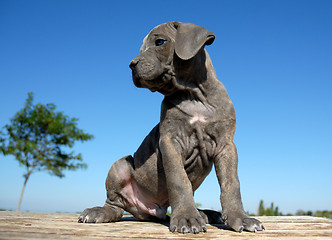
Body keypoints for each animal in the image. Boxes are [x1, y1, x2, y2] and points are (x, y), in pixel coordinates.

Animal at [78, 21, 264, 233]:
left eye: (160, 42)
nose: (131, 64)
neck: (193, 95)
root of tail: (149, 210)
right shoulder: (170, 142)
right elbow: (179, 181)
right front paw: (187, 218)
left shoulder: (226, 145)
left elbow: (231, 184)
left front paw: (240, 218)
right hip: (121, 165)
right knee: (115, 205)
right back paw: (98, 212)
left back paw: (206, 213)